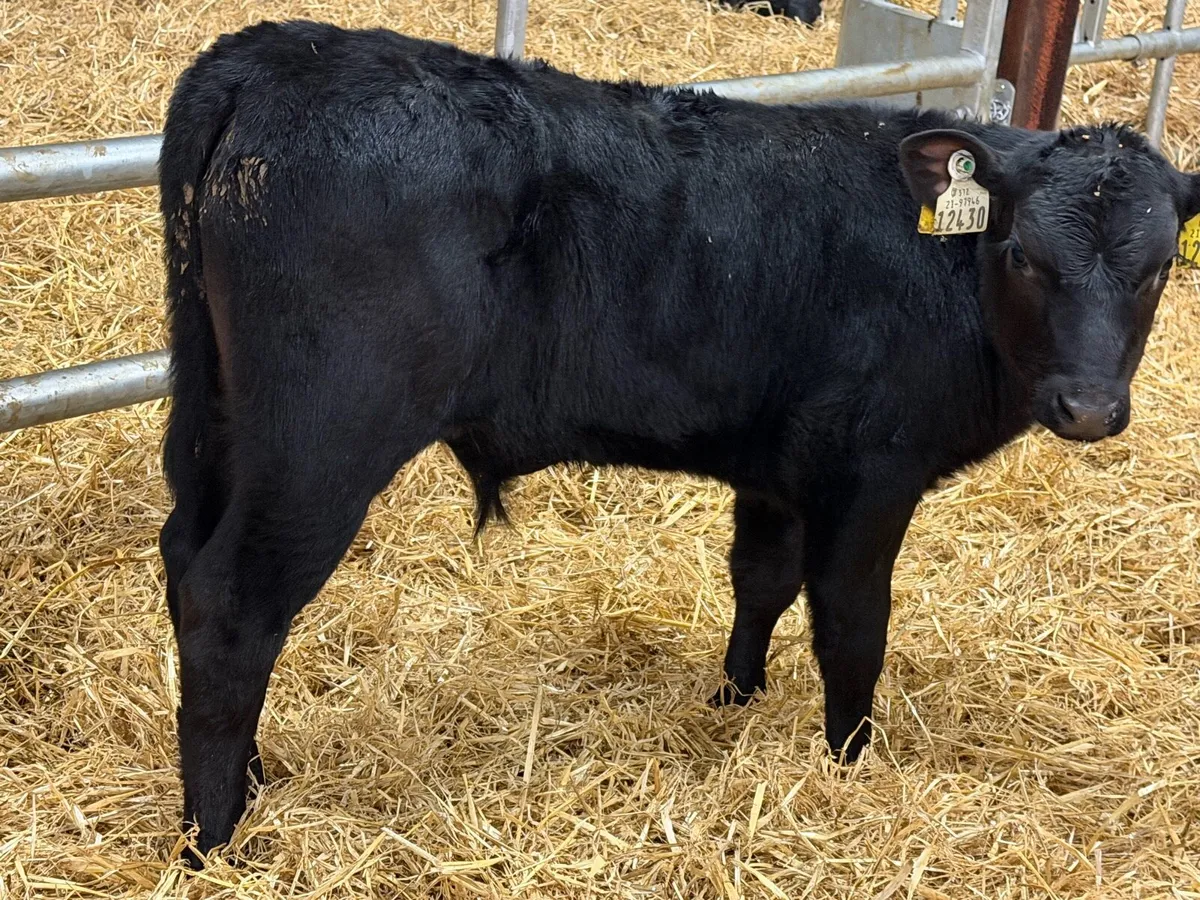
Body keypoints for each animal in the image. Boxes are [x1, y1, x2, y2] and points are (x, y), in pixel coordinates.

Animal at [157, 20, 1200, 863]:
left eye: (1156, 270)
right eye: (1023, 254)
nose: (1088, 408)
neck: (939, 269)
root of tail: (278, 51)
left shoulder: (778, 468)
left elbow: (761, 581)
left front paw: (735, 702)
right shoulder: (872, 476)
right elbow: (854, 628)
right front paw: (849, 762)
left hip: (222, 425)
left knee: (183, 558)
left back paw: (250, 780)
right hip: (321, 444)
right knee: (233, 604)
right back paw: (216, 838)